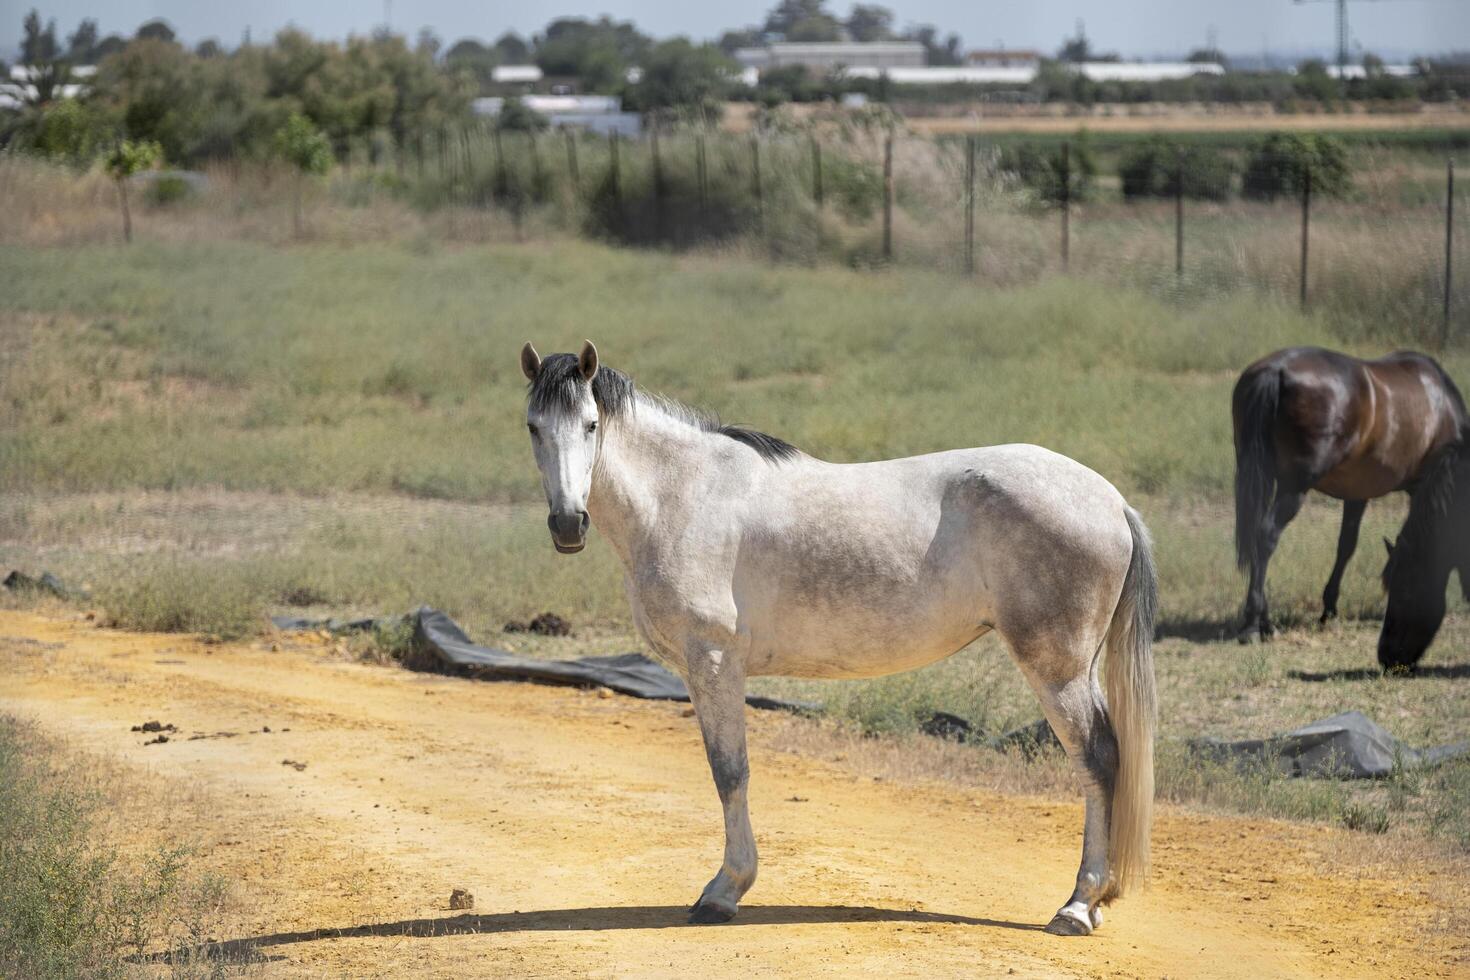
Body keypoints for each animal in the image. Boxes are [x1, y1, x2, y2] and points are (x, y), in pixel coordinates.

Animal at [523, 343, 1152, 934]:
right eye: (533, 426)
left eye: (591, 424)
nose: (568, 525)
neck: (681, 496)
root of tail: (1112, 500)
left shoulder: (714, 663)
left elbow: (730, 772)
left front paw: (724, 891)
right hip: (1079, 667)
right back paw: (1096, 901)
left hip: (1056, 667)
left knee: (1098, 758)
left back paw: (1077, 905)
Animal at [1234, 346, 1464, 643]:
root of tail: (1276, 370)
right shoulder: (1423, 488)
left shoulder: (1357, 495)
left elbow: (1346, 545)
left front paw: (1329, 607)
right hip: (1293, 488)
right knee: (1265, 537)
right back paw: (1254, 624)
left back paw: (1263, 620)